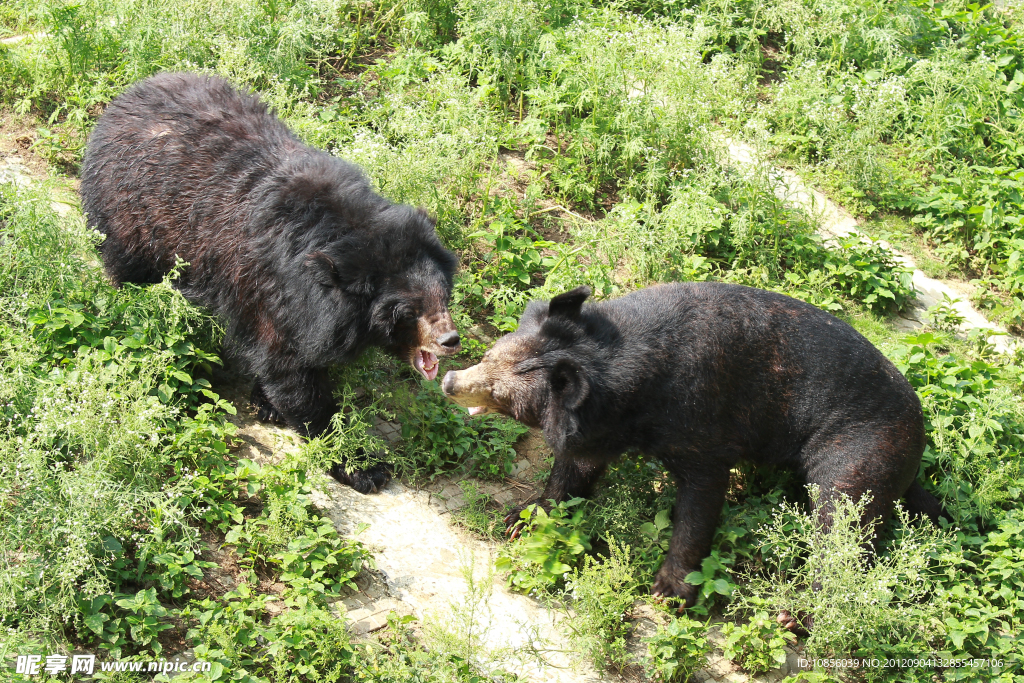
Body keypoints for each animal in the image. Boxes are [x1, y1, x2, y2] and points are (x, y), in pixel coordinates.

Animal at [81, 73, 458, 491]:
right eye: (408, 311)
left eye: (444, 295)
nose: (450, 340)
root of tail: (128, 95)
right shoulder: (270, 288)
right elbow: (291, 371)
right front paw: (363, 463)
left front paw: (267, 404)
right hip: (131, 216)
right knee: (132, 273)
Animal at [440, 282, 942, 614]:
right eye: (488, 357)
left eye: (501, 393)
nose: (450, 380)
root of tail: (919, 438)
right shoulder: (604, 426)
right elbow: (576, 467)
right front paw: (522, 518)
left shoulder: (700, 422)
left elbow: (700, 502)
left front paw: (669, 591)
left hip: (862, 448)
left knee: (841, 525)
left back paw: (797, 612)